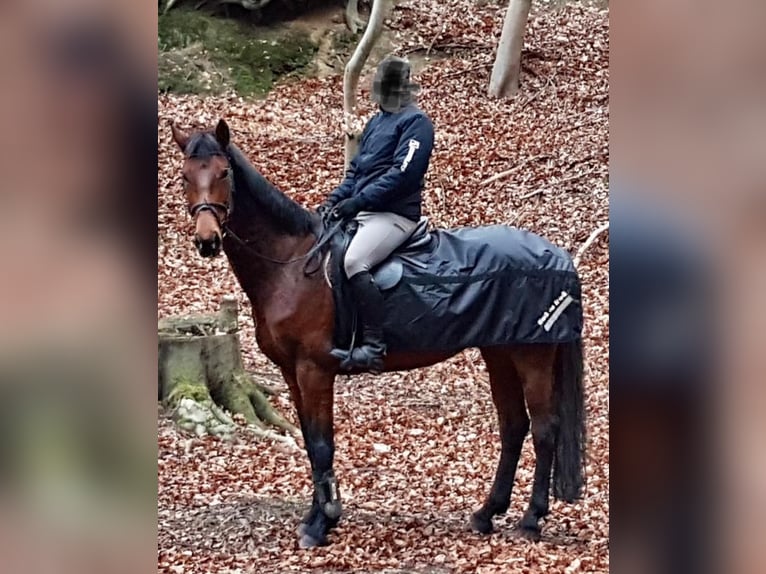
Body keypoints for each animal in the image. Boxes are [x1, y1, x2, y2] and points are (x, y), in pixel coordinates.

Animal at [168, 118, 586, 549]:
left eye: (224, 173)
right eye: (185, 176)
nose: (207, 241)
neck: (292, 264)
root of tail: (559, 257)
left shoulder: (314, 370)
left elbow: (322, 444)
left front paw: (322, 524)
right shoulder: (291, 372)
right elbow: (310, 442)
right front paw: (317, 516)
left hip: (532, 355)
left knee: (544, 429)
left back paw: (531, 520)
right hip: (499, 352)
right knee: (514, 425)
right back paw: (486, 514)